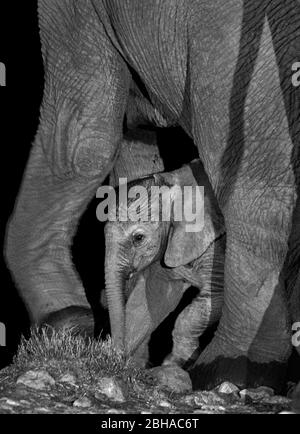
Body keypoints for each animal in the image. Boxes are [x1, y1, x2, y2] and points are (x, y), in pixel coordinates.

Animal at [103, 159, 225, 366]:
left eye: (138, 238)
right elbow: (153, 296)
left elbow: (213, 296)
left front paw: (176, 361)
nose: (115, 355)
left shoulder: (216, 245)